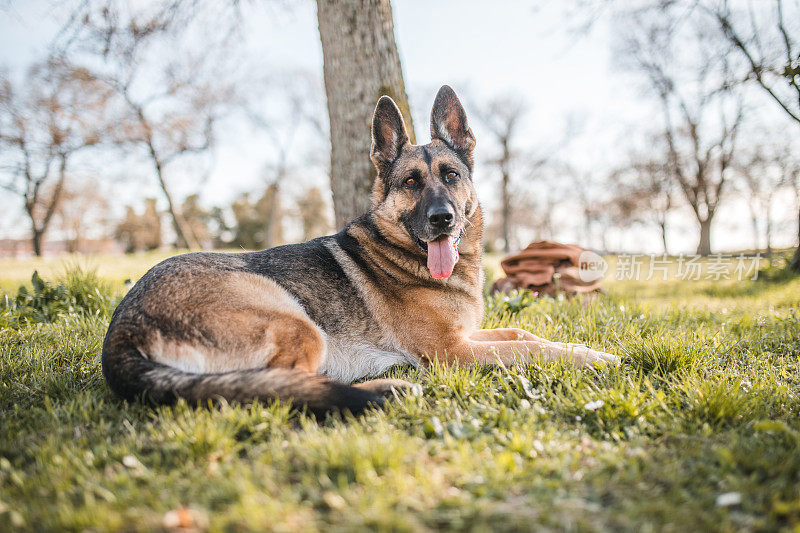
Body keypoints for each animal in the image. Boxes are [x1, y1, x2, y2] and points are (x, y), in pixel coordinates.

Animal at [100, 86, 616, 412]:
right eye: (410, 183)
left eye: (451, 175)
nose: (442, 219)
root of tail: (121, 332)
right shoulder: (454, 352)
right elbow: (531, 350)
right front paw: (595, 358)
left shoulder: (469, 337)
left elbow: (524, 334)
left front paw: (583, 347)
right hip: (296, 322)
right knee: (282, 388)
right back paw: (387, 386)